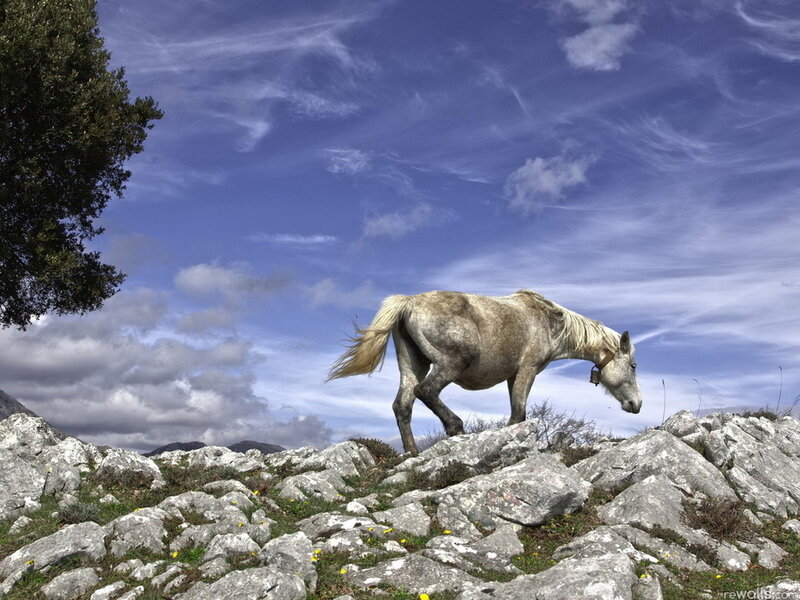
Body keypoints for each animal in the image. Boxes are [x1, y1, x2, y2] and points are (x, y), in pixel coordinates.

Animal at [328, 289, 642, 454]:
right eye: (634, 366)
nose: (636, 404)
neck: (550, 322)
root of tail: (409, 302)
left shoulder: (513, 376)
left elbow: (517, 412)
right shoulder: (527, 371)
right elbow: (519, 414)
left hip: (413, 365)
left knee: (403, 405)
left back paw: (412, 453)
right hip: (451, 364)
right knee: (426, 391)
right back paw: (455, 428)